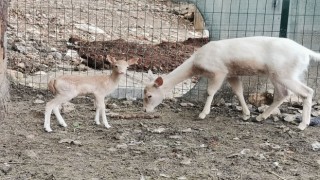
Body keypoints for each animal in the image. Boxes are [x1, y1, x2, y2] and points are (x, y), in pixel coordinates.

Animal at [143, 36, 320, 130]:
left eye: (149, 95)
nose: (145, 110)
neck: (196, 63)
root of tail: (307, 52)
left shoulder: (219, 71)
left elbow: (210, 92)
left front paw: (202, 114)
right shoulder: (231, 74)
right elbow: (238, 91)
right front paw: (246, 115)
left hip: (285, 73)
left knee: (307, 91)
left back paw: (303, 124)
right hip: (277, 75)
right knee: (283, 94)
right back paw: (260, 117)